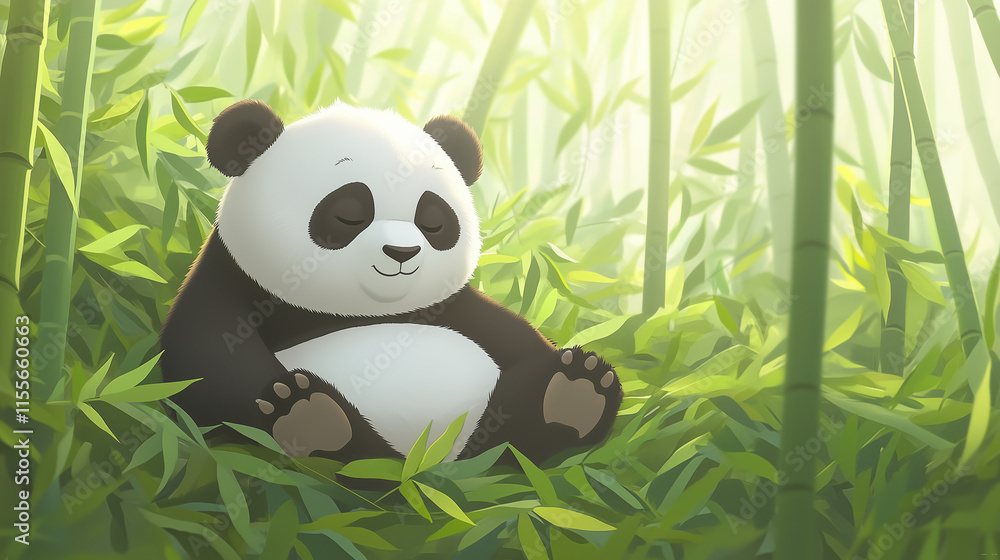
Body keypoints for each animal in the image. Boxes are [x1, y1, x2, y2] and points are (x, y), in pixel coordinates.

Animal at [160, 100, 623, 465]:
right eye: (348, 213)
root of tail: (426, 468)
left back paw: (573, 394)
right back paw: (313, 419)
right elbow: (207, 368)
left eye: (434, 219)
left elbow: (519, 339)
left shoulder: (453, 306)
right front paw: (287, 401)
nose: (402, 253)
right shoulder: (231, 282)